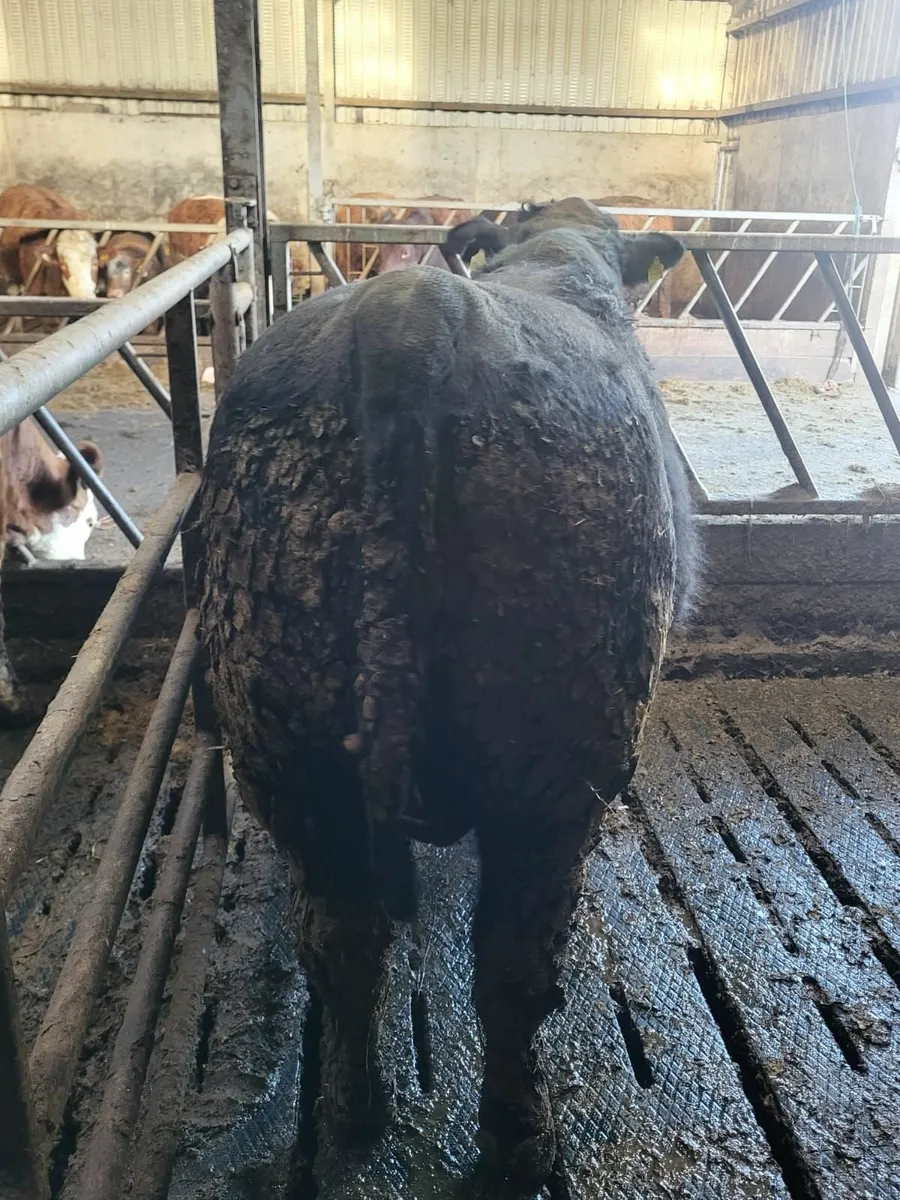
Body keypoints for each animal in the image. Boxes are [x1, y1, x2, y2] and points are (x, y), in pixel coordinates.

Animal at [198, 197, 697, 1194]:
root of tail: (413, 312)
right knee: (512, 973)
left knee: (342, 946)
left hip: (287, 755)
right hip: (557, 774)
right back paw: (520, 1143)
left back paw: (357, 1110)